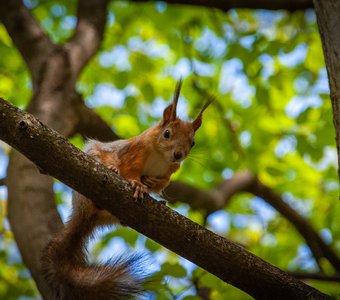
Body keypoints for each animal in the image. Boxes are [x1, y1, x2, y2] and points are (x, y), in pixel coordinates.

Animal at [41, 80, 212, 300]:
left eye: (193, 143)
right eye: (167, 134)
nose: (178, 154)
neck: (161, 156)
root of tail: (84, 214)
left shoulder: (171, 171)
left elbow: (162, 183)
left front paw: (151, 184)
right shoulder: (135, 152)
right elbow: (131, 170)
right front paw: (137, 184)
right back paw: (111, 169)